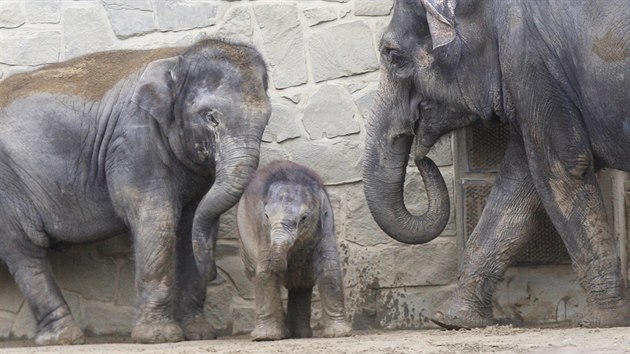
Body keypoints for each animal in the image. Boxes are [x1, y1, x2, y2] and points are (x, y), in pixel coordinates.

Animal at [0, 39, 270, 346]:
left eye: (267, 118)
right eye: (211, 117)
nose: (214, 272)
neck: (178, 57)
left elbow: (192, 221)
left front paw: (199, 333)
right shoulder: (134, 141)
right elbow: (157, 219)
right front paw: (159, 337)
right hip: (9, 186)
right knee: (24, 249)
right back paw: (64, 339)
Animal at [238, 160, 354, 340]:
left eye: (304, 218)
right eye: (266, 216)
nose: (285, 265)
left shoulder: (326, 224)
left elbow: (329, 269)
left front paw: (339, 333)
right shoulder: (261, 231)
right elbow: (265, 271)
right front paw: (266, 337)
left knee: (301, 284)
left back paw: (300, 334)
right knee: (257, 275)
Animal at [362, 0, 630, 330]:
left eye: (394, 56)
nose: (421, 156)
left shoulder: (532, 67)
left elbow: (561, 170)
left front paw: (602, 320)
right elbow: (516, 186)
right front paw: (452, 321)